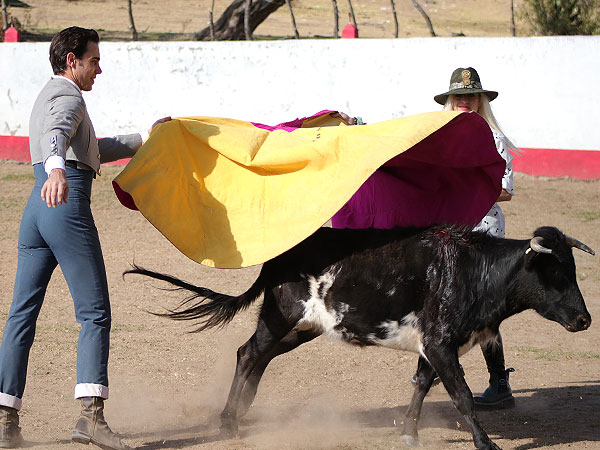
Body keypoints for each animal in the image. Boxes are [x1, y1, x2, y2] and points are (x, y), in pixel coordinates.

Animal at [124, 225, 592, 450]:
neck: (472, 270)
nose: (585, 319)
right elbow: (460, 395)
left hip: (302, 327)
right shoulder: (441, 344)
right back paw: (228, 423)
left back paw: (241, 412)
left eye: (572, 269)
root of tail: (279, 255)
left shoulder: (433, 346)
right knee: (248, 353)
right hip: (282, 316)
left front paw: (409, 434)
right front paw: (485, 443)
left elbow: (422, 385)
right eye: (554, 272)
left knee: (255, 357)